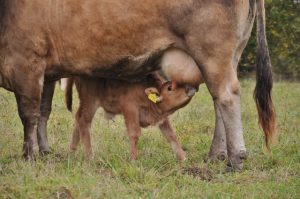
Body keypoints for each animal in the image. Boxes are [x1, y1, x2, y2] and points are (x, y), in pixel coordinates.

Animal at [65, 74, 197, 161]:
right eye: (169, 88)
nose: (191, 88)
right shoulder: (130, 109)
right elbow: (134, 133)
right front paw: (133, 159)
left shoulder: (162, 118)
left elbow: (171, 135)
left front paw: (183, 158)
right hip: (90, 101)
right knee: (83, 121)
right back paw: (90, 157)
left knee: (78, 119)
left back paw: (71, 152)